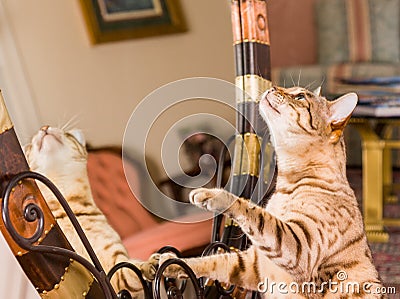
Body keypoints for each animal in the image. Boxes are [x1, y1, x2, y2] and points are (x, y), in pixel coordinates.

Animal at [24, 127, 159, 299]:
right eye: (30, 146)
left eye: (67, 134)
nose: (44, 127)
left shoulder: (115, 269)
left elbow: (132, 269)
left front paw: (152, 263)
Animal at [161, 86, 386, 299]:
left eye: (300, 97)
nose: (272, 88)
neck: (287, 183)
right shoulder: (253, 263)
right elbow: (214, 261)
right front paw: (169, 262)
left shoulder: (300, 246)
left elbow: (253, 211)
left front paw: (211, 194)